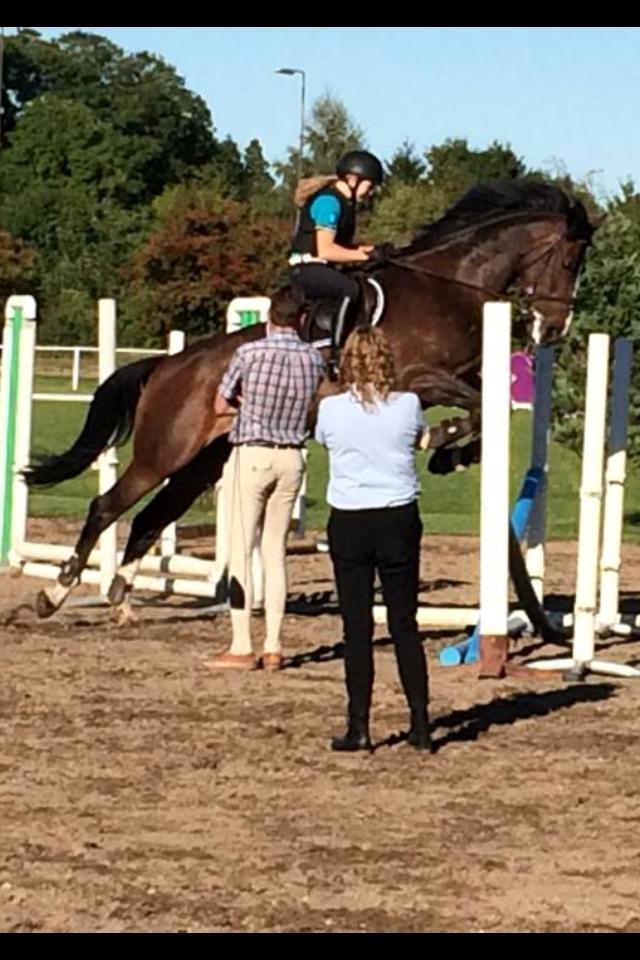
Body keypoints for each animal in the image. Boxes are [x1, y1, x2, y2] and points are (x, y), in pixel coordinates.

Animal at [25, 176, 596, 620]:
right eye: (570, 260)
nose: (555, 329)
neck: (449, 285)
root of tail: (168, 365)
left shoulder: (461, 377)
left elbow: (489, 406)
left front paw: (451, 454)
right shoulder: (420, 378)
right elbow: (474, 407)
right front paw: (444, 443)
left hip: (201, 463)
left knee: (148, 518)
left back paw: (120, 596)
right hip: (164, 451)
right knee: (107, 506)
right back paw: (56, 593)